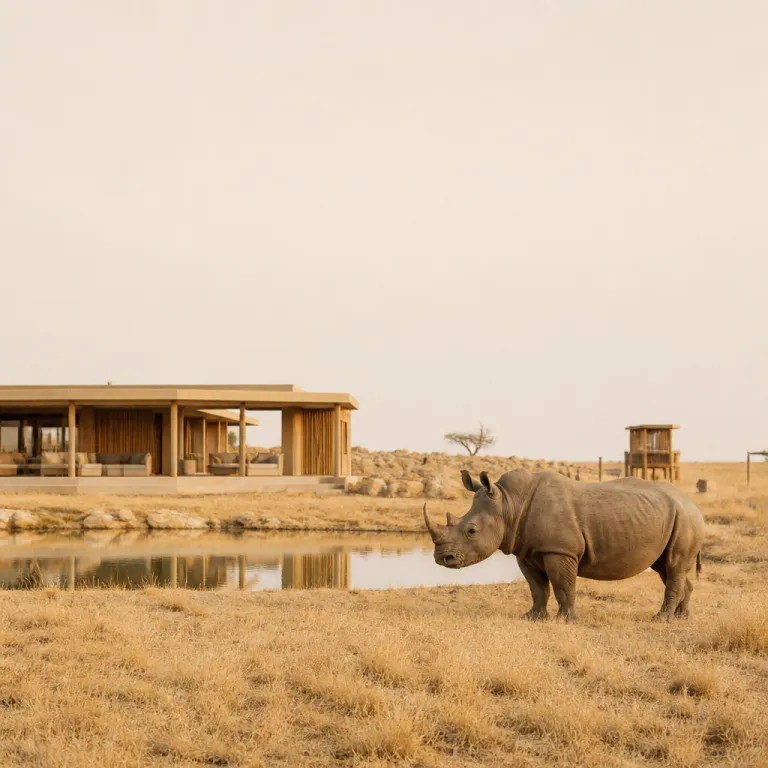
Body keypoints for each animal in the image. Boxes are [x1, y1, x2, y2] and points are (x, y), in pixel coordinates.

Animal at [423, 469, 705, 621]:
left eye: (471, 531)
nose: (442, 558)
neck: (508, 504)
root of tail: (692, 503)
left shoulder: (560, 550)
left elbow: (563, 586)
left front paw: (566, 620)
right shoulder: (527, 551)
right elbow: (537, 588)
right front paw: (532, 617)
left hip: (686, 518)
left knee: (674, 565)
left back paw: (661, 619)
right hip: (674, 517)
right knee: (667, 567)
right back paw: (682, 618)